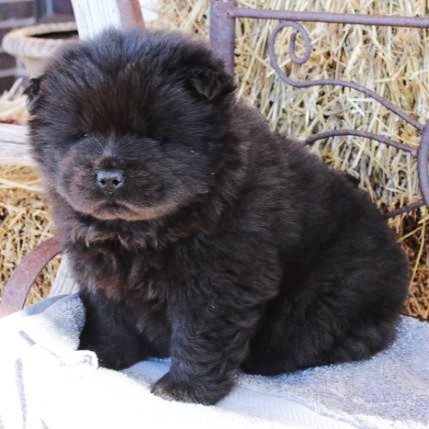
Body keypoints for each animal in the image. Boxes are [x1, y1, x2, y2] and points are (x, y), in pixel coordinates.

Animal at [26, 28, 408, 402]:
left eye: (154, 137)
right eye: (82, 135)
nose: (108, 177)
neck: (138, 233)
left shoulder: (218, 280)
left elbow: (199, 336)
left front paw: (182, 391)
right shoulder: (101, 272)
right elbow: (109, 319)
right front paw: (98, 358)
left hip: (326, 298)